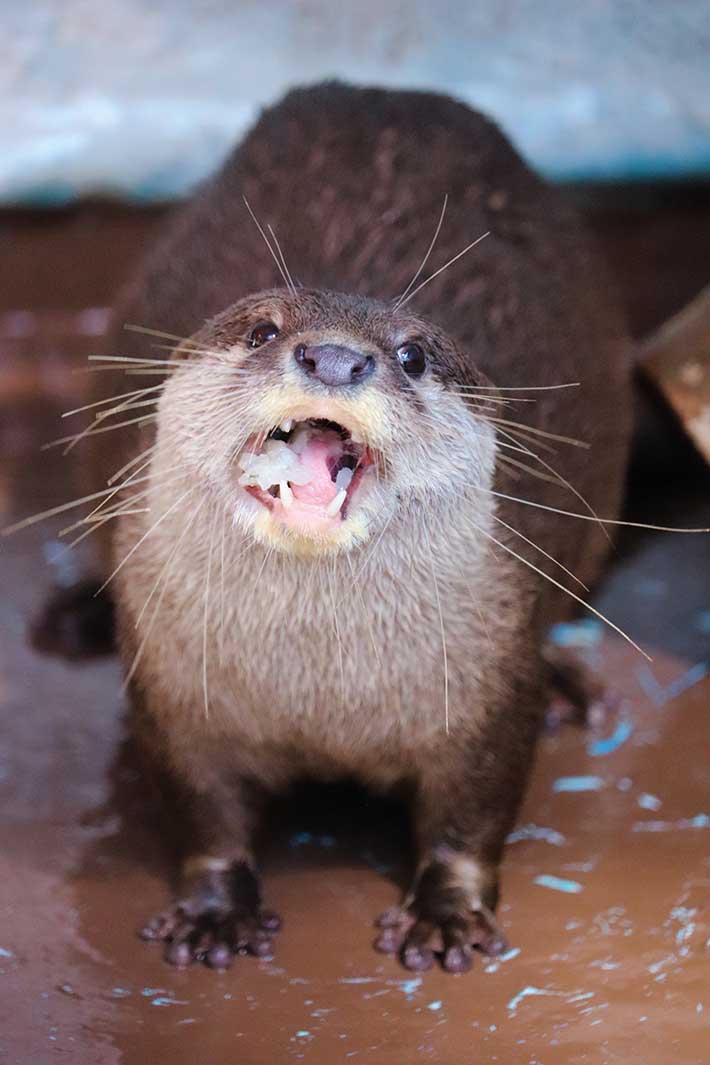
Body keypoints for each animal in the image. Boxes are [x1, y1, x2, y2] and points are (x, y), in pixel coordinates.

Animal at [44, 85, 634, 975]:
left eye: (413, 355)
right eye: (262, 330)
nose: (332, 357)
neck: (321, 695)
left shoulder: (491, 682)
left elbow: (475, 807)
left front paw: (446, 912)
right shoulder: (174, 691)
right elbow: (201, 808)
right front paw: (214, 909)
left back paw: (569, 679)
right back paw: (77, 611)